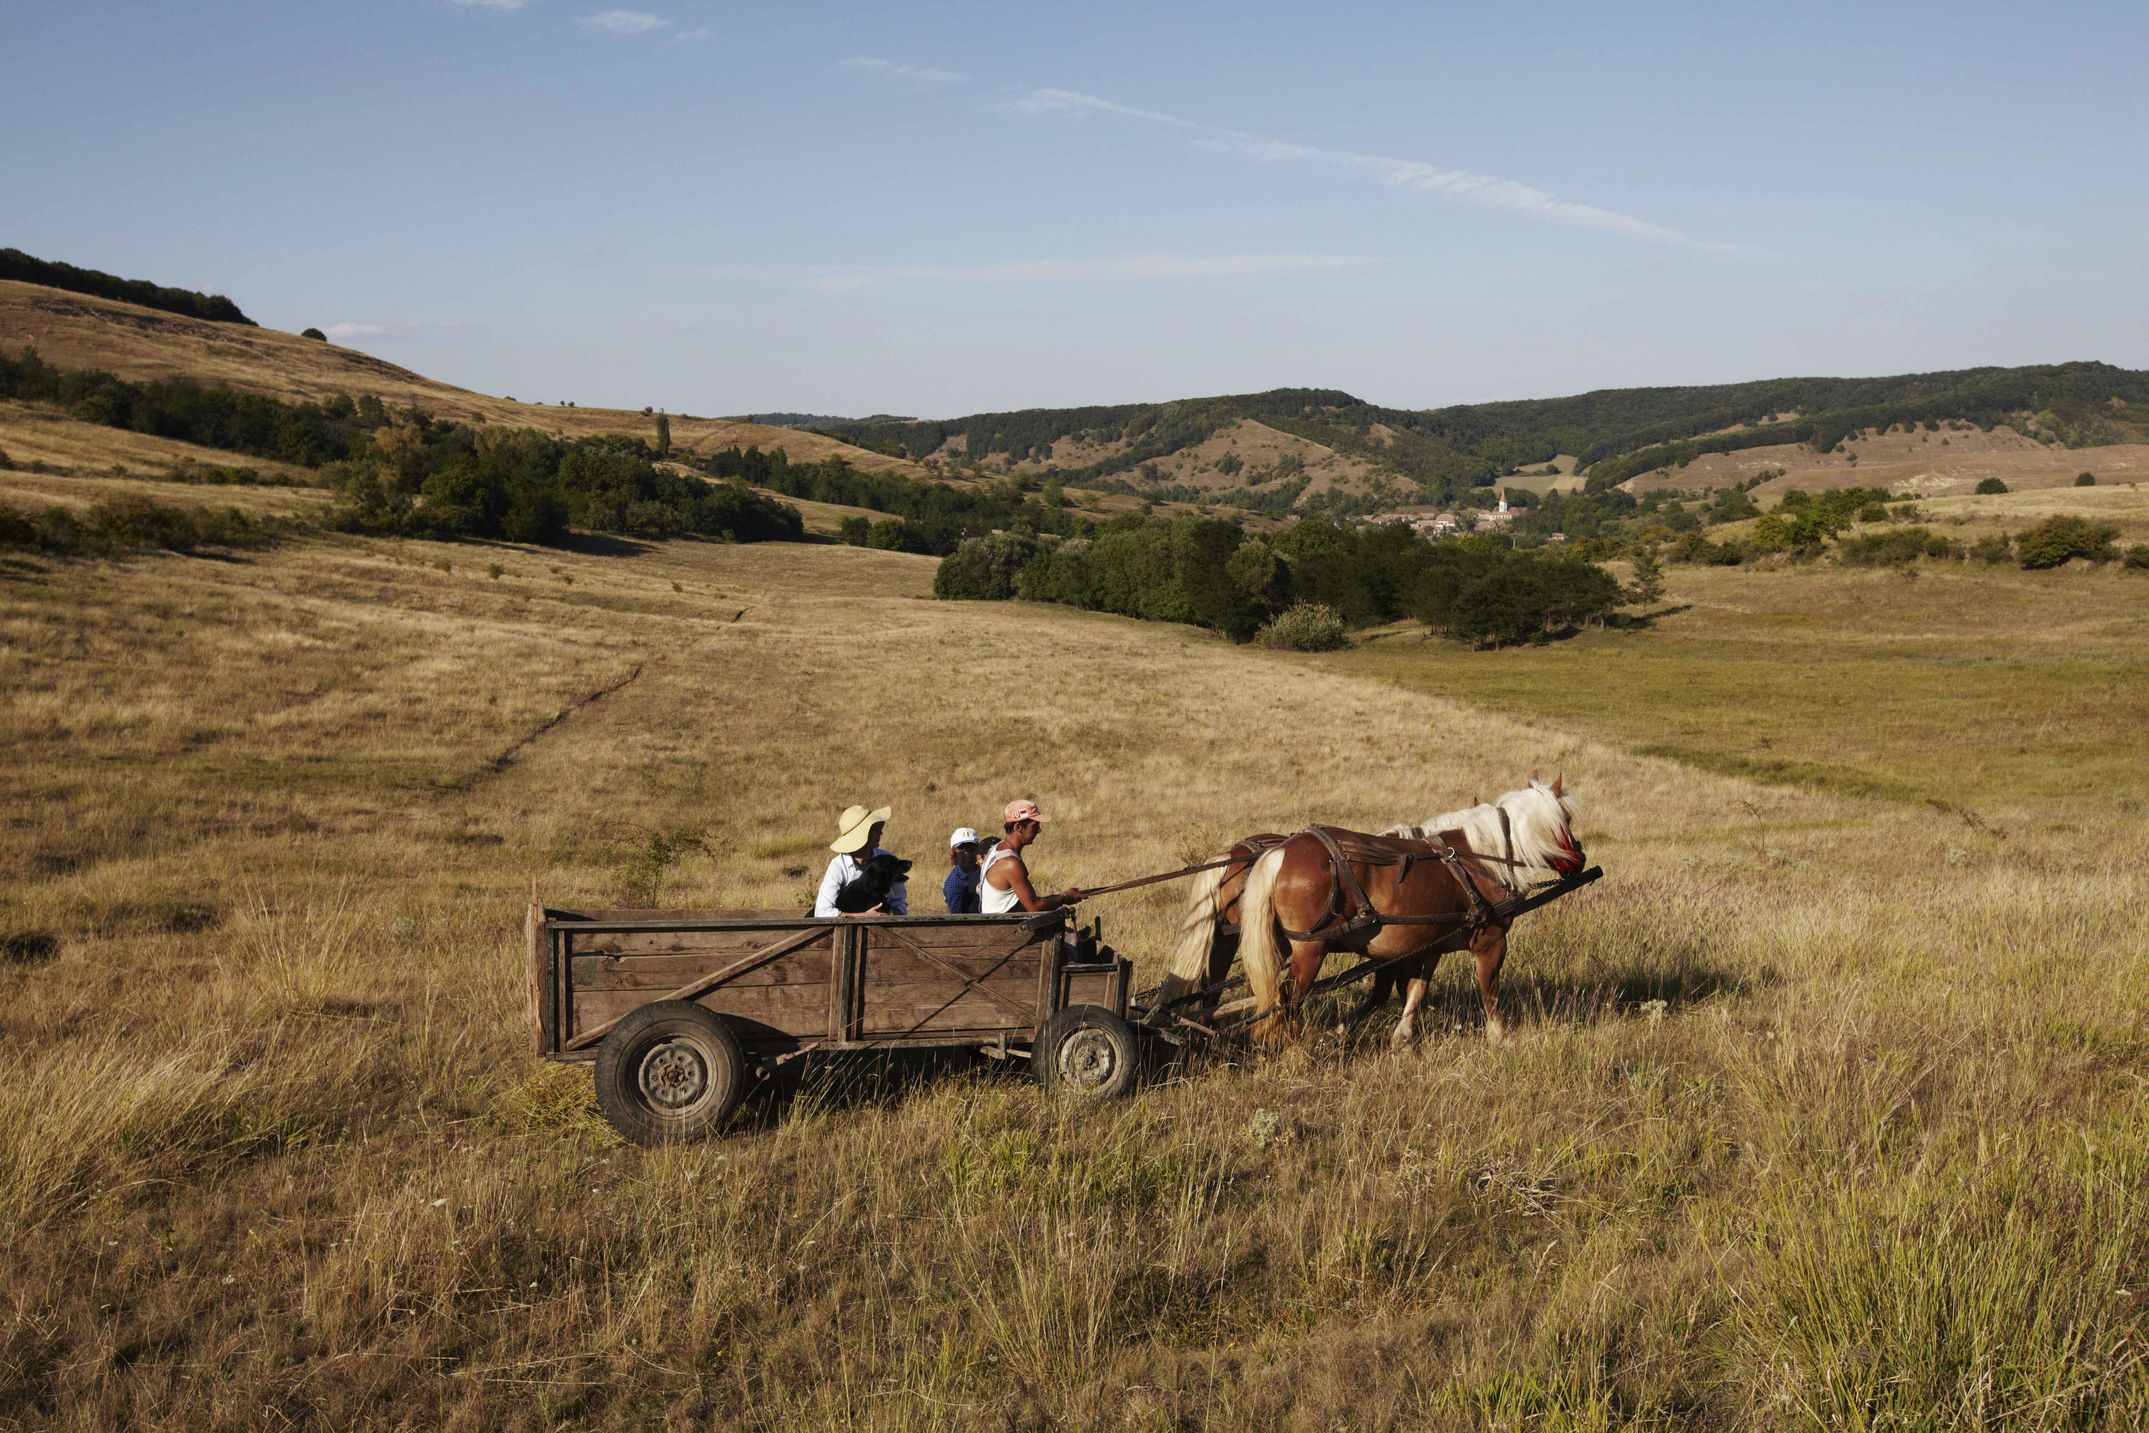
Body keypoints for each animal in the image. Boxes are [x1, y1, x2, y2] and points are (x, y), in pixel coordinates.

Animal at [1160, 777, 1581, 1048]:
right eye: (1567, 819)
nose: (1580, 858)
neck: (1481, 858)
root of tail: (1273, 853)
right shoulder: (1490, 941)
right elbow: (1488, 990)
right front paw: (1500, 1037)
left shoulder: (1423, 945)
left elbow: (1411, 990)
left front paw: (1399, 1037)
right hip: (1307, 949)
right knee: (1286, 997)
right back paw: (1289, 1044)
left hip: (1247, 939)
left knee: (1227, 987)